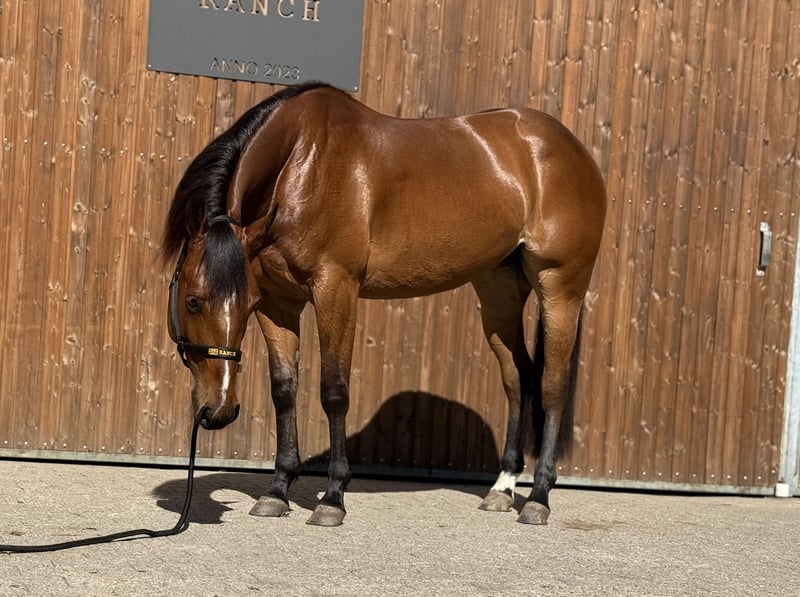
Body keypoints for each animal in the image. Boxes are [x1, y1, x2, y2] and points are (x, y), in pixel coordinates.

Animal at [163, 81, 606, 527]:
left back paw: (538, 498)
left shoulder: (335, 288)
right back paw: (503, 487)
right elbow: (284, 389)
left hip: (560, 288)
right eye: (194, 301)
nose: (217, 411)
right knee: (518, 377)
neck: (302, 163)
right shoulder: (279, 302)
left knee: (552, 385)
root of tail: (571, 149)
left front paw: (333, 497)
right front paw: (277, 491)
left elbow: (334, 391)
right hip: (499, 290)